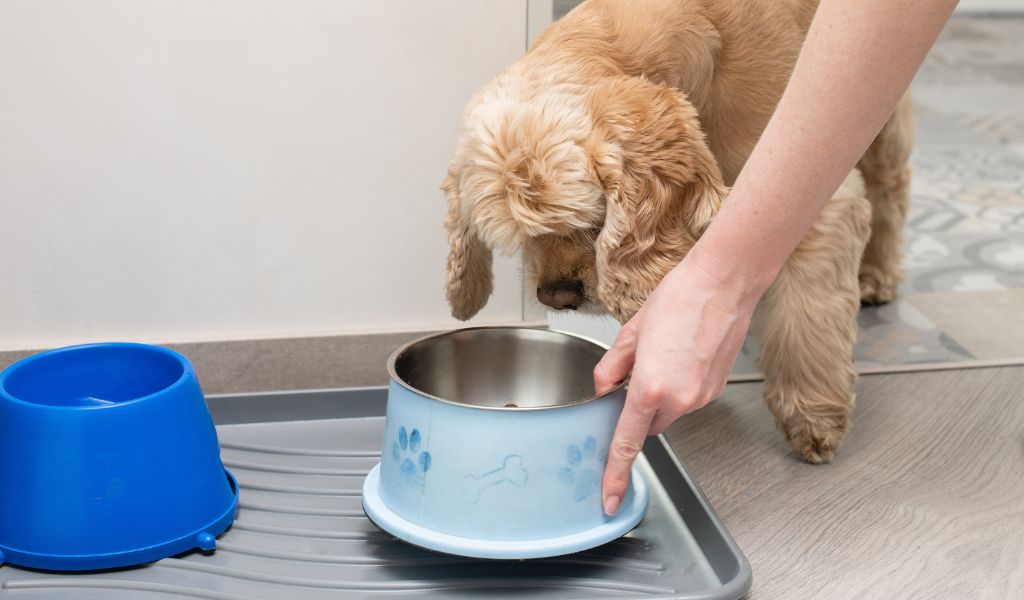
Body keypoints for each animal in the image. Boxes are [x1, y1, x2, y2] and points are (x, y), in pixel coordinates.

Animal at [440, 0, 913, 460]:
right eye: (525, 236)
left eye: (592, 220)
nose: (556, 297)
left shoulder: (806, 192)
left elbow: (807, 319)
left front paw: (812, 415)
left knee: (891, 187)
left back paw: (876, 275)